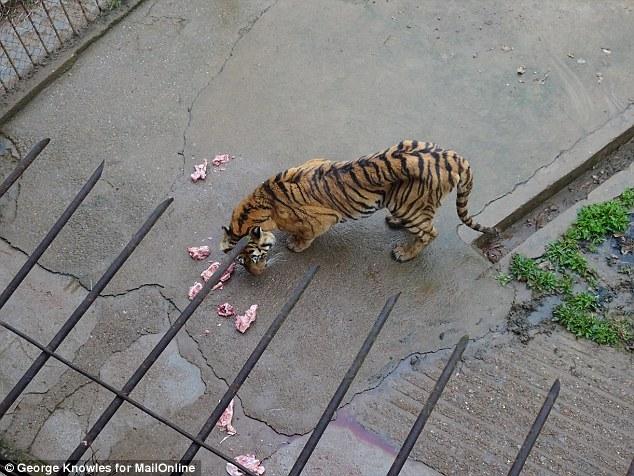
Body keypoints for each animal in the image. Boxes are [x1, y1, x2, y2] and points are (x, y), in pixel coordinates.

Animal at [221, 140, 494, 276]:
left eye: (253, 258)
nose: (255, 274)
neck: (261, 203)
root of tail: (454, 158)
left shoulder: (321, 221)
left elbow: (306, 235)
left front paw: (295, 245)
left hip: (406, 204)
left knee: (430, 232)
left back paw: (404, 253)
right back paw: (396, 224)